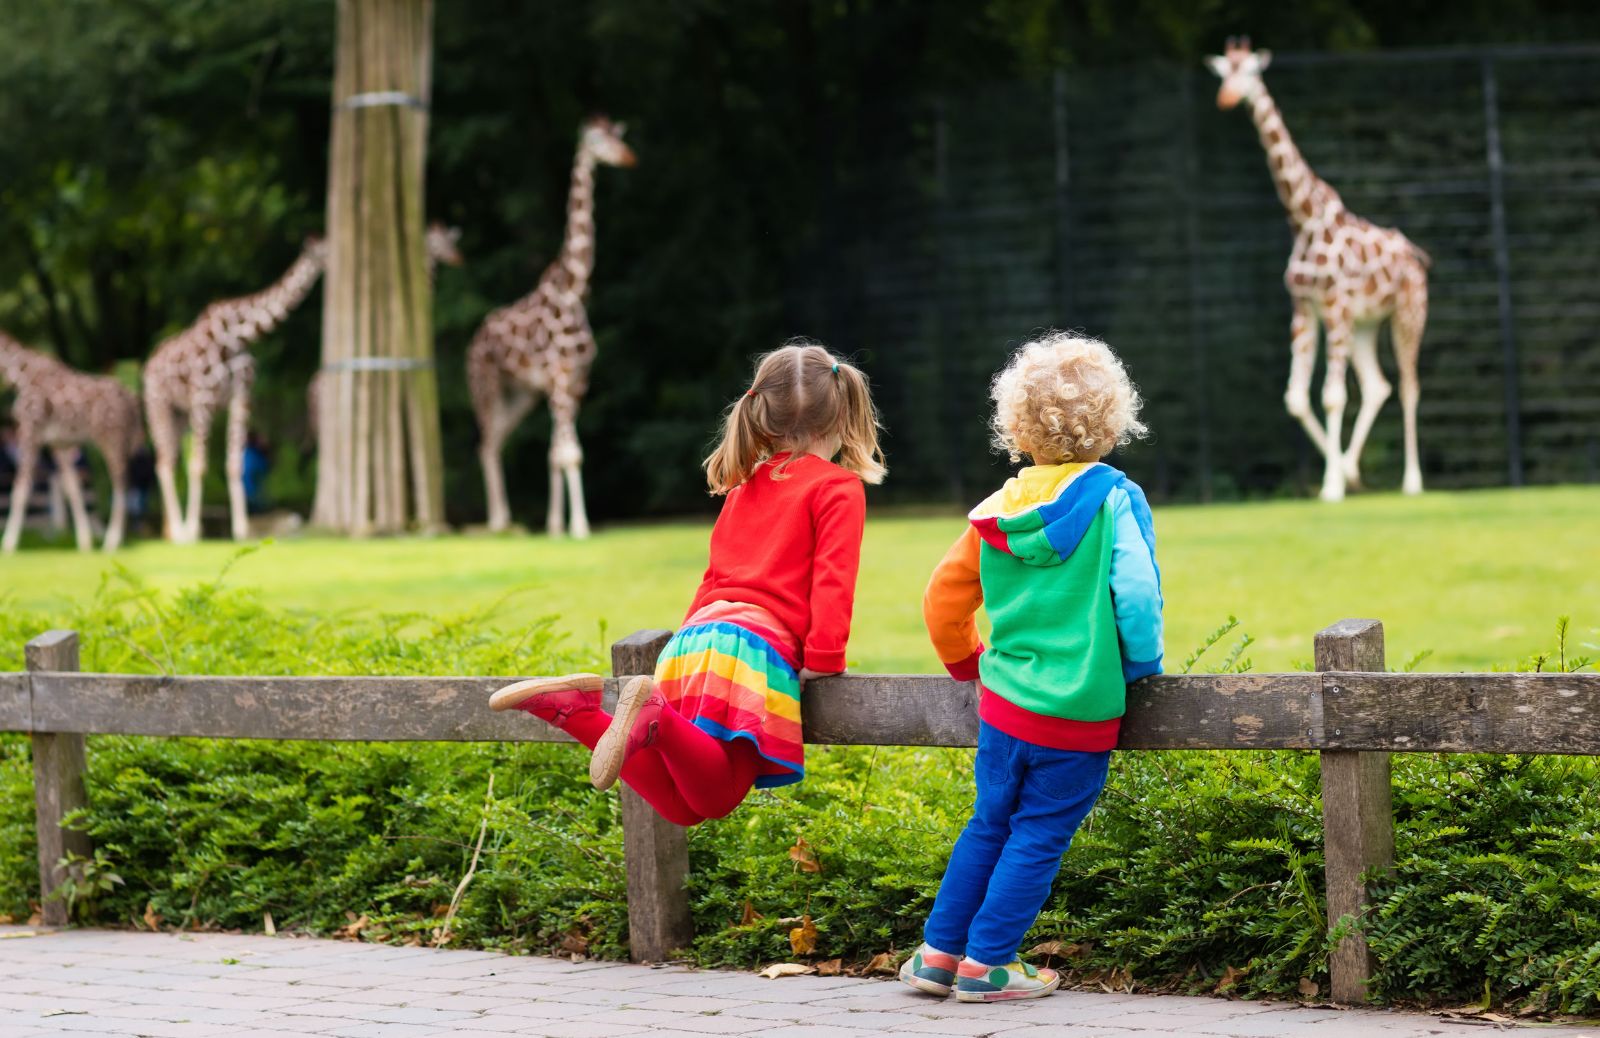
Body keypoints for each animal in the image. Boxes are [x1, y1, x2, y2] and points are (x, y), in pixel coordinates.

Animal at [0, 335, 142, 553]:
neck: (20, 375)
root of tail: (132, 399)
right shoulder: (57, 443)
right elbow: (72, 488)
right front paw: (84, 542)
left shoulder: (30, 430)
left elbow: (21, 489)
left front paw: (8, 544)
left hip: (111, 438)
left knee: (121, 483)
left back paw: (112, 541)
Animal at [144, 235, 328, 543]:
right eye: (324, 249)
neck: (238, 336)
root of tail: (150, 362)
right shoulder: (204, 397)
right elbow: (198, 464)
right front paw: (194, 531)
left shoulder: (241, 396)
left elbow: (235, 463)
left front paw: (242, 528)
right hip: (159, 406)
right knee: (165, 462)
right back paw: (180, 532)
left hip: (182, 415)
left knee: (167, 460)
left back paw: (172, 531)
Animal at [467, 115, 633, 534]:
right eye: (596, 139)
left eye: (618, 136)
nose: (628, 158)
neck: (574, 290)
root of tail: (475, 339)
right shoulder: (559, 376)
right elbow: (569, 452)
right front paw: (579, 528)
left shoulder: (576, 380)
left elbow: (558, 451)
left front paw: (558, 525)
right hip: (485, 384)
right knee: (486, 442)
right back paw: (498, 521)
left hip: (521, 395)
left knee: (498, 440)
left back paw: (509, 520)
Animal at [1203, 35, 1433, 499]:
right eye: (1224, 73)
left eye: (1251, 71)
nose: (1228, 98)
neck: (1303, 218)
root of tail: (1416, 257)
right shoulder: (1305, 307)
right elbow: (1295, 398)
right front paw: (1341, 473)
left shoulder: (1334, 305)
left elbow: (1330, 395)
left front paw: (1331, 487)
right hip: (1364, 324)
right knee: (1378, 385)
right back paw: (1354, 469)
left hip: (1407, 315)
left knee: (1409, 386)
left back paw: (1412, 482)